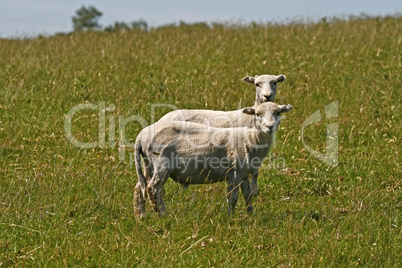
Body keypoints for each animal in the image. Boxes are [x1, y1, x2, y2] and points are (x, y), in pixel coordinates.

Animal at [133, 101, 294, 217]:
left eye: (277, 112)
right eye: (258, 114)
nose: (269, 127)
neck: (250, 139)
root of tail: (141, 135)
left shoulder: (244, 175)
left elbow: (248, 197)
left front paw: (252, 217)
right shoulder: (234, 174)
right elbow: (233, 198)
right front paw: (231, 218)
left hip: (148, 164)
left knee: (140, 188)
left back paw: (141, 216)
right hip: (161, 164)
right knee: (153, 188)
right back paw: (163, 215)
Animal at [157, 73, 286, 197]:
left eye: (275, 82)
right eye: (257, 84)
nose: (267, 96)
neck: (251, 116)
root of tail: (162, 118)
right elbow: (254, 174)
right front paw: (254, 193)